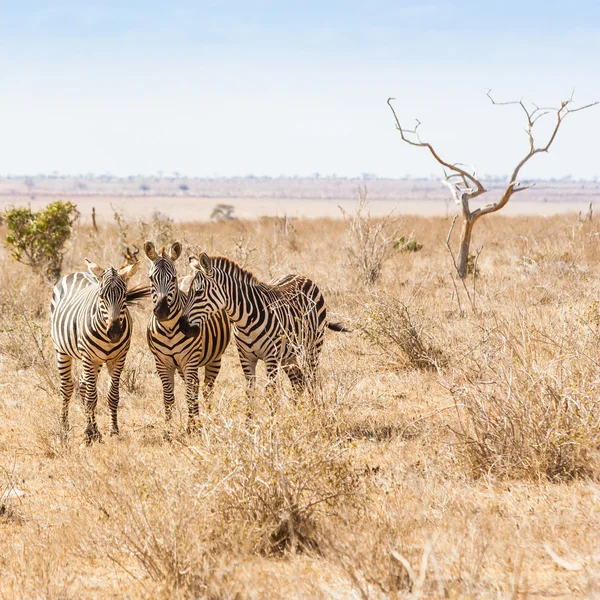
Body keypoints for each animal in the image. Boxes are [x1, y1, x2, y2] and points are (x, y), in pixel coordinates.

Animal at [51, 255, 150, 442]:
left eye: (125, 295)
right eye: (102, 296)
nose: (115, 332)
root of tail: (76, 272)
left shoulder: (119, 358)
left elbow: (113, 396)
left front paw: (113, 430)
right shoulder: (89, 357)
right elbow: (92, 398)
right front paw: (90, 434)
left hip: (93, 361)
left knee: (83, 384)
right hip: (64, 351)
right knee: (67, 387)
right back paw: (64, 429)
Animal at [143, 241, 232, 434]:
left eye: (173, 279)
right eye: (151, 279)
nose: (161, 312)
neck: (169, 329)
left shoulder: (190, 359)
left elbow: (190, 394)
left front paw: (193, 428)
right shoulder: (162, 363)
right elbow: (168, 398)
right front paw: (168, 431)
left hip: (213, 358)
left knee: (206, 387)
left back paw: (208, 417)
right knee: (196, 385)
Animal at [178, 253, 346, 394]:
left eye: (199, 292)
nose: (182, 326)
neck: (245, 322)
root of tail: (301, 276)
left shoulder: (271, 357)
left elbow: (271, 391)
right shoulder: (245, 358)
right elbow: (249, 392)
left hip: (313, 346)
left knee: (312, 378)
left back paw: (315, 406)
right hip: (288, 355)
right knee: (299, 381)